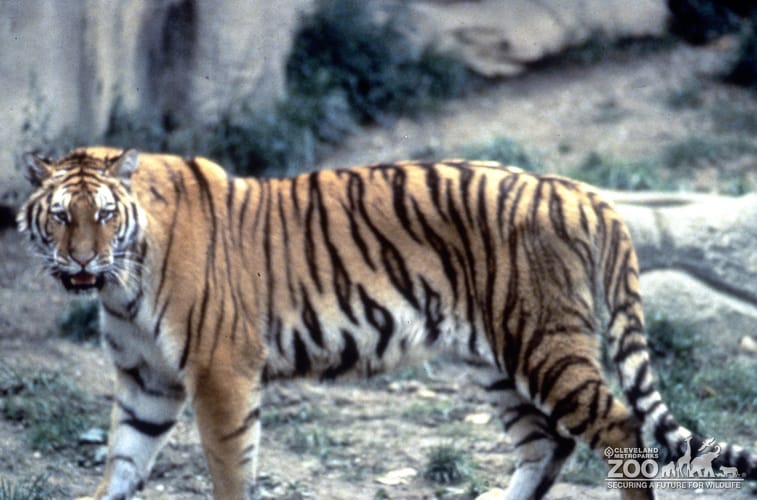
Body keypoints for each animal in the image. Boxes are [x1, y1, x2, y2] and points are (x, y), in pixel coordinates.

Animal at [16, 146, 756, 500]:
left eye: (103, 214)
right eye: (60, 216)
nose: (80, 262)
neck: (120, 284)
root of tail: (581, 190)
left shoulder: (218, 371)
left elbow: (228, 470)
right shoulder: (147, 379)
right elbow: (123, 460)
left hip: (542, 341)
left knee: (616, 427)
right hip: (494, 357)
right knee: (547, 444)